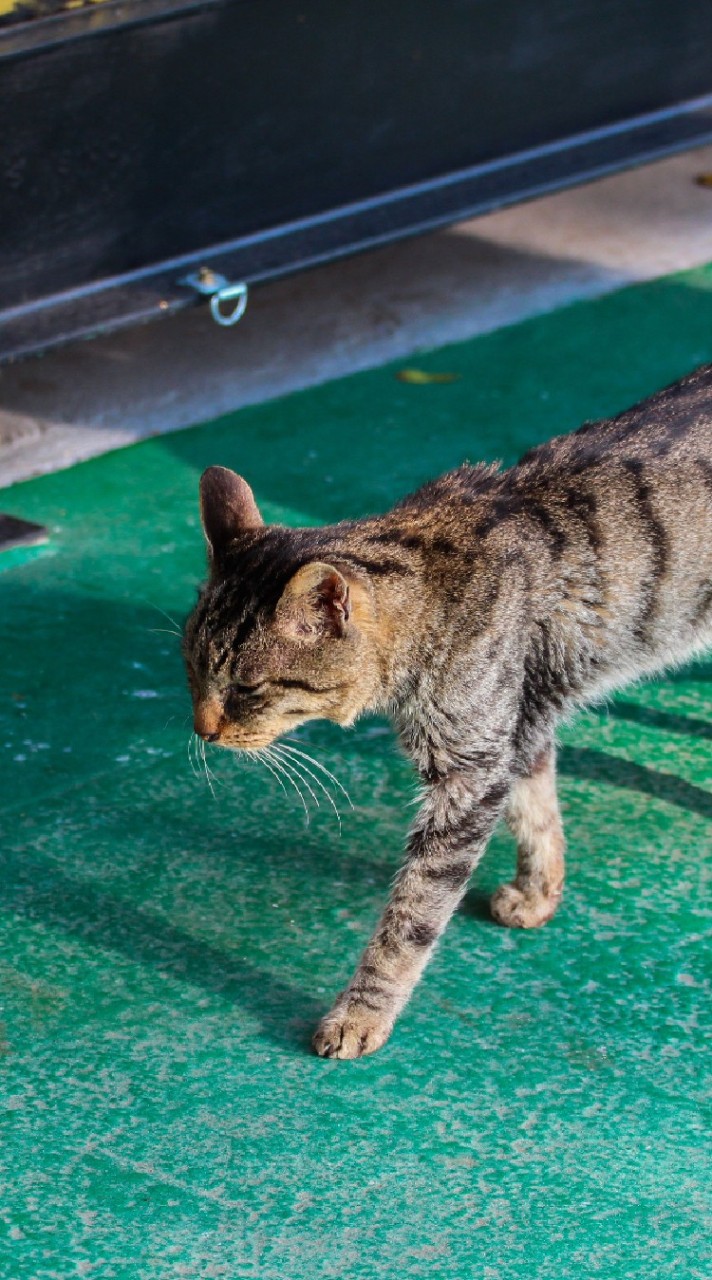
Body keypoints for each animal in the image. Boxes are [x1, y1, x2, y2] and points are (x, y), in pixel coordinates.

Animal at [181, 363, 712, 1059]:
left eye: (247, 688)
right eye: (190, 668)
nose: (202, 729)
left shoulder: (470, 772)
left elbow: (412, 915)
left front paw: (361, 1013)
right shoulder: (521, 722)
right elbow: (536, 812)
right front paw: (540, 893)